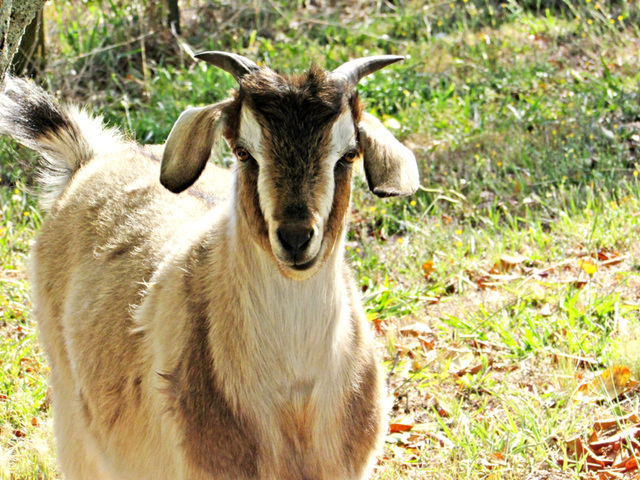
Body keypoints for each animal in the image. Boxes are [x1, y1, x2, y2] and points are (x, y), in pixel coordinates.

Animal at [1, 50, 420, 478]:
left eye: (349, 154)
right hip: (73, 415)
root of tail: (90, 159)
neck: (294, 398)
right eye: (243, 152)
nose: (295, 237)